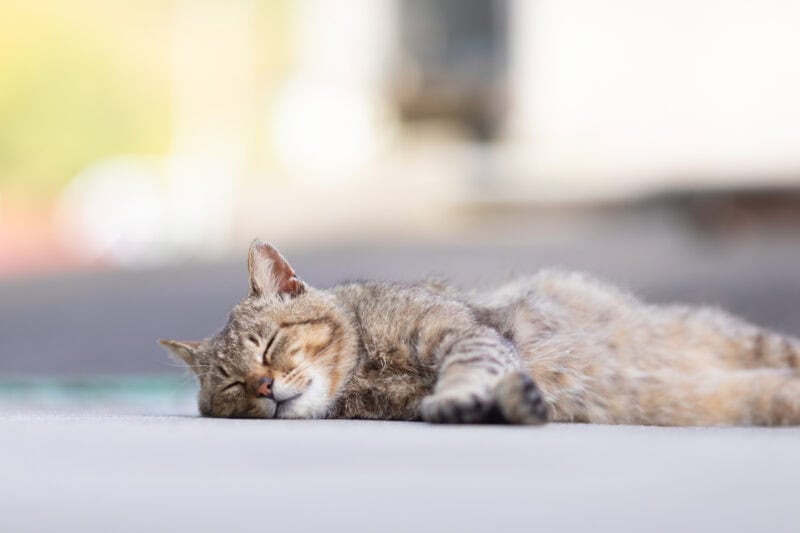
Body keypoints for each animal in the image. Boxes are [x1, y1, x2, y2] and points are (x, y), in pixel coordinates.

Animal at [159, 239, 800, 426]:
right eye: (232, 385)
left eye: (269, 346)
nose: (265, 388)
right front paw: (509, 404)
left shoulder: (466, 334)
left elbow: (471, 365)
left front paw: (459, 393)